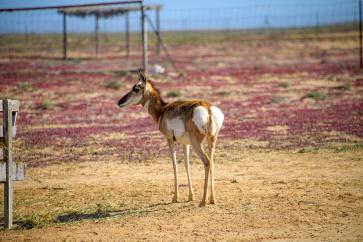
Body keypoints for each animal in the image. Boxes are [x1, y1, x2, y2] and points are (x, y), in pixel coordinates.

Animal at [118, 70, 223, 206]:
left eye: (136, 88)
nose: (119, 102)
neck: (163, 110)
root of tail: (207, 107)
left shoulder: (169, 140)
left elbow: (175, 165)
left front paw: (175, 198)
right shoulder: (185, 144)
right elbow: (186, 165)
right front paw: (190, 196)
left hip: (197, 144)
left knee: (207, 162)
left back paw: (203, 201)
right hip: (212, 140)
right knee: (212, 162)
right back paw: (212, 199)